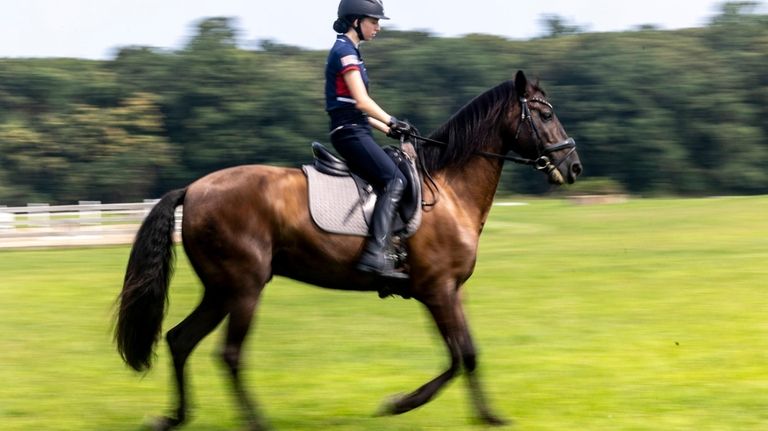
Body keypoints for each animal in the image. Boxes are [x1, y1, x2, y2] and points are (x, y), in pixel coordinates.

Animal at [114, 69, 584, 430]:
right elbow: (458, 355)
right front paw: (403, 404)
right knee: (228, 354)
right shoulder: (437, 290)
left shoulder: (451, 291)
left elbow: (465, 353)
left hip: (220, 290)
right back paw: (254, 421)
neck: (450, 192)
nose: (573, 166)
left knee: (180, 340)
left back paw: (174, 417)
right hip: (243, 287)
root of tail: (193, 189)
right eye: (545, 113)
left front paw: (481, 414)